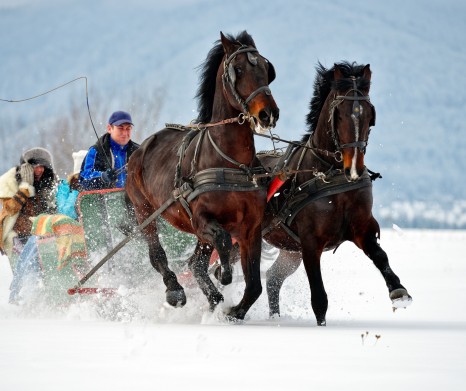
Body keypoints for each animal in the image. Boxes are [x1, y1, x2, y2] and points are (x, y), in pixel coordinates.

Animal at [125, 31, 278, 322]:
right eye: (238, 69)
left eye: (266, 69)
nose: (268, 113)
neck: (230, 163)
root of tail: (140, 149)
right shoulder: (201, 220)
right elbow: (223, 242)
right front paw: (224, 274)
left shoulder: (251, 228)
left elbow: (254, 285)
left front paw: (234, 311)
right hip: (144, 212)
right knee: (157, 255)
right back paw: (175, 291)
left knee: (195, 263)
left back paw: (214, 298)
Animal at [258, 62, 412, 328]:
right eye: (339, 113)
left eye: (370, 116)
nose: (354, 168)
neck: (330, 174)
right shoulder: (310, 242)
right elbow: (319, 296)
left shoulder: (361, 228)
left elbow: (380, 256)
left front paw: (398, 290)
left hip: (289, 249)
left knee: (273, 278)